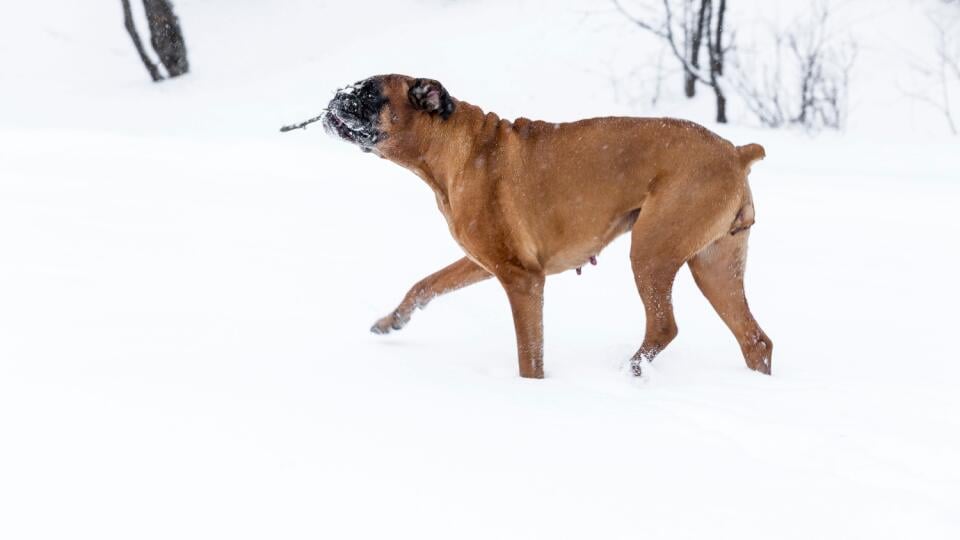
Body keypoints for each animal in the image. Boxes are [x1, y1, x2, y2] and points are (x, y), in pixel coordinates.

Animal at [316, 75, 772, 380]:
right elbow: (426, 284)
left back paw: (630, 372)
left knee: (664, 325)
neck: (454, 149)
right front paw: (392, 320)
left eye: (369, 93)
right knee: (755, 340)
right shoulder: (481, 263)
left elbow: (528, 354)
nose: (335, 95)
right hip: (715, 265)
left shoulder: (523, 279)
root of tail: (736, 151)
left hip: (652, 251)